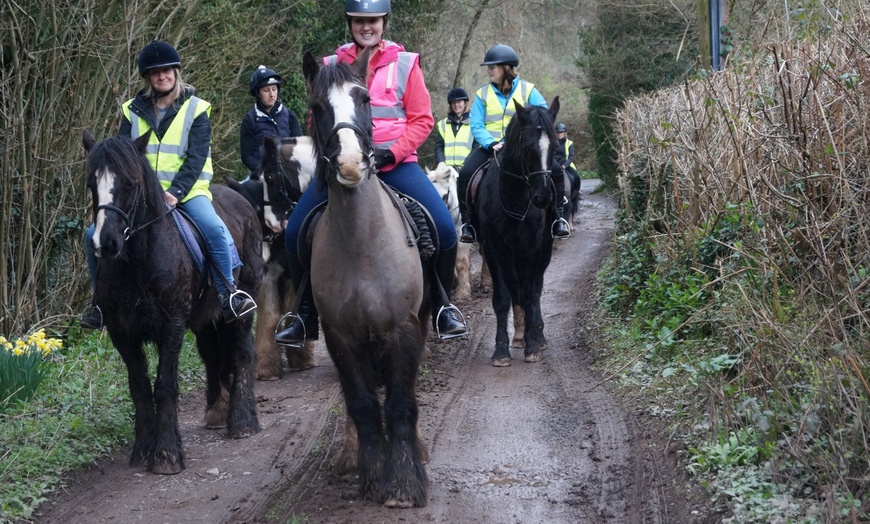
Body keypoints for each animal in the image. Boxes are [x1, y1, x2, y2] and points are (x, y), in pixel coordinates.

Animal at [84, 130, 262, 474]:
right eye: (91, 184)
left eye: (131, 183)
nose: (107, 243)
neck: (138, 261)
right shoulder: (121, 332)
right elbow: (139, 387)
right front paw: (143, 449)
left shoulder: (172, 325)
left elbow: (165, 385)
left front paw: (166, 453)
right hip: (205, 318)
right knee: (211, 355)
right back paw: (216, 412)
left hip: (243, 306)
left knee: (242, 354)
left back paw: (243, 422)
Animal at [304, 50, 432, 508]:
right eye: (317, 106)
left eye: (363, 99)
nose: (349, 164)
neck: (362, 245)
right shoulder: (339, 335)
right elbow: (361, 403)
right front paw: (373, 474)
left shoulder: (403, 329)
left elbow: (400, 403)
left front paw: (404, 483)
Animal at [474, 99, 564, 368]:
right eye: (526, 147)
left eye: (554, 145)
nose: (542, 198)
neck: (515, 198)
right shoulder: (494, 250)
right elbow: (503, 297)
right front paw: (501, 350)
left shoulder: (531, 249)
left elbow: (529, 293)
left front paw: (533, 346)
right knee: (515, 288)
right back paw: (520, 334)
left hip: (543, 251)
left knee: (534, 288)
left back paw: (537, 334)